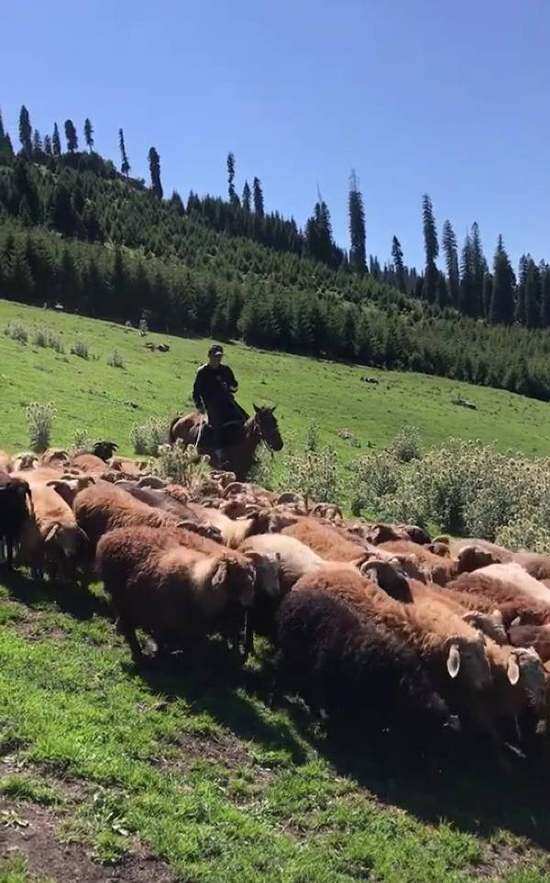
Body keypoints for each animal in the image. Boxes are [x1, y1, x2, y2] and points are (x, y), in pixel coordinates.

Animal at [97, 524, 256, 664]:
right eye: (239, 577)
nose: (250, 601)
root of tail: (109, 536)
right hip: (121, 599)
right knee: (129, 629)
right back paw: (138, 656)